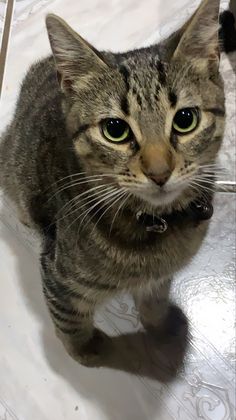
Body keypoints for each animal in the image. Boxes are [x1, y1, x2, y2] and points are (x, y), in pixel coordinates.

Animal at [0, 0, 226, 364]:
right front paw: (85, 351)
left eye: (185, 119)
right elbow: (69, 318)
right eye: (115, 129)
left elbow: (154, 300)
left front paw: (160, 327)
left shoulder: (158, 279)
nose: (159, 172)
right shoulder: (59, 276)